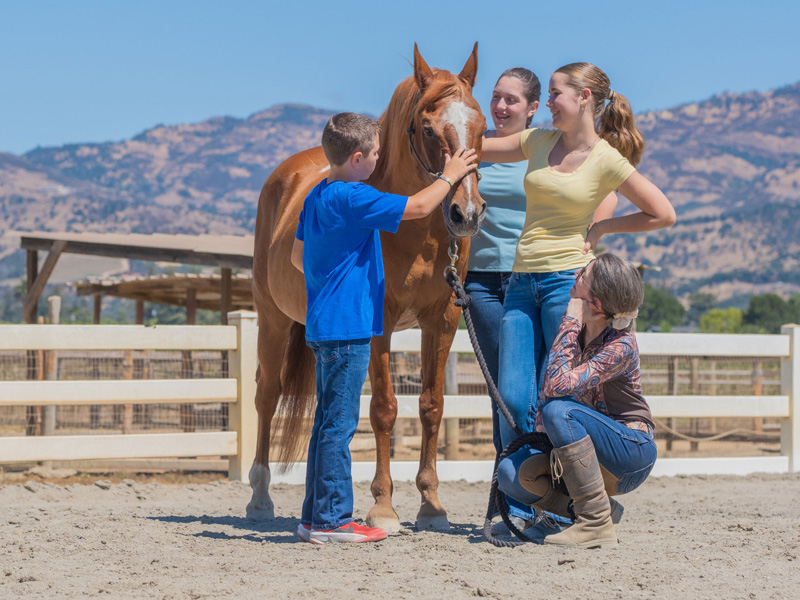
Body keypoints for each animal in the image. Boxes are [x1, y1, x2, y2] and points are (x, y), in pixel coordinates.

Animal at [247, 43, 484, 528]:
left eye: (483, 124)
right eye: (428, 128)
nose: (466, 213)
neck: (414, 230)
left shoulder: (442, 321)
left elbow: (431, 406)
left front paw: (431, 505)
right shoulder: (380, 323)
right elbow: (384, 410)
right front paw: (383, 506)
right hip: (272, 321)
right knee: (267, 395)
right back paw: (260, 498)